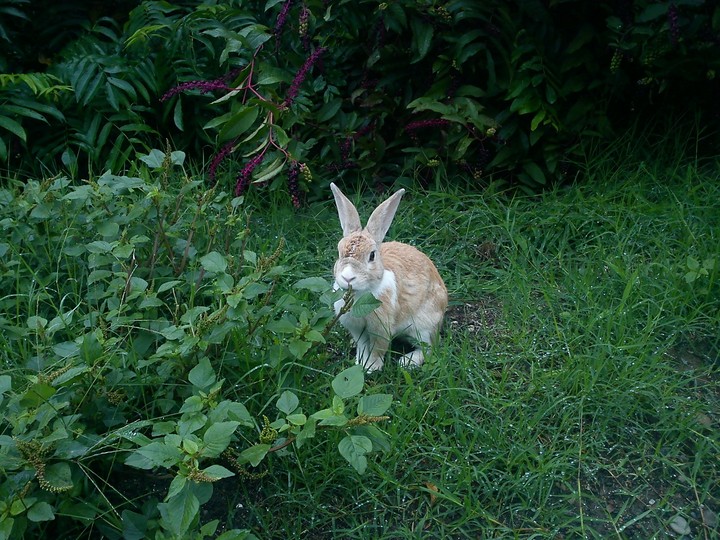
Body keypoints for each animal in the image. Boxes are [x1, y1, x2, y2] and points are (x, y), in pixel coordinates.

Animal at [330, 182, 448, 372]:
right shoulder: (356, 329)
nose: (348, 277)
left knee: (429, 348)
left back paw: (407, 362)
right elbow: (362, 345)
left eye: (372, 256)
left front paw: (372, 367)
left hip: (422, 327)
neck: (360, 294)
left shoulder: (381, 327)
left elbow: (378, 347)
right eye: (339, 252)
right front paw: (360, 362)